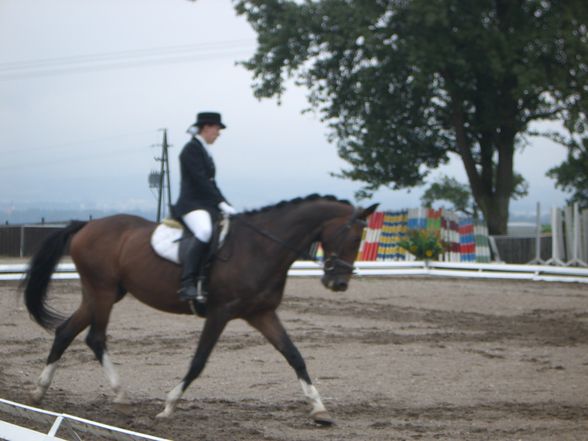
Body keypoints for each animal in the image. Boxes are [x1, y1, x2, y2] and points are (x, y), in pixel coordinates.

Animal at [20, 194, 378, 424]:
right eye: (351, 236)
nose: (338, 283)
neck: (261, 248)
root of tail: (85, 225)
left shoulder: (261, 314)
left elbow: (294, 355)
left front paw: (319, 409)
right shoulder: (220, 312)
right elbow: (199, 361)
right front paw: (168, 406)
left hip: (99, 293)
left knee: (66, 331)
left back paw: (38, 393)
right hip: (104, 291)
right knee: (95, 337)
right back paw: (120, 397)